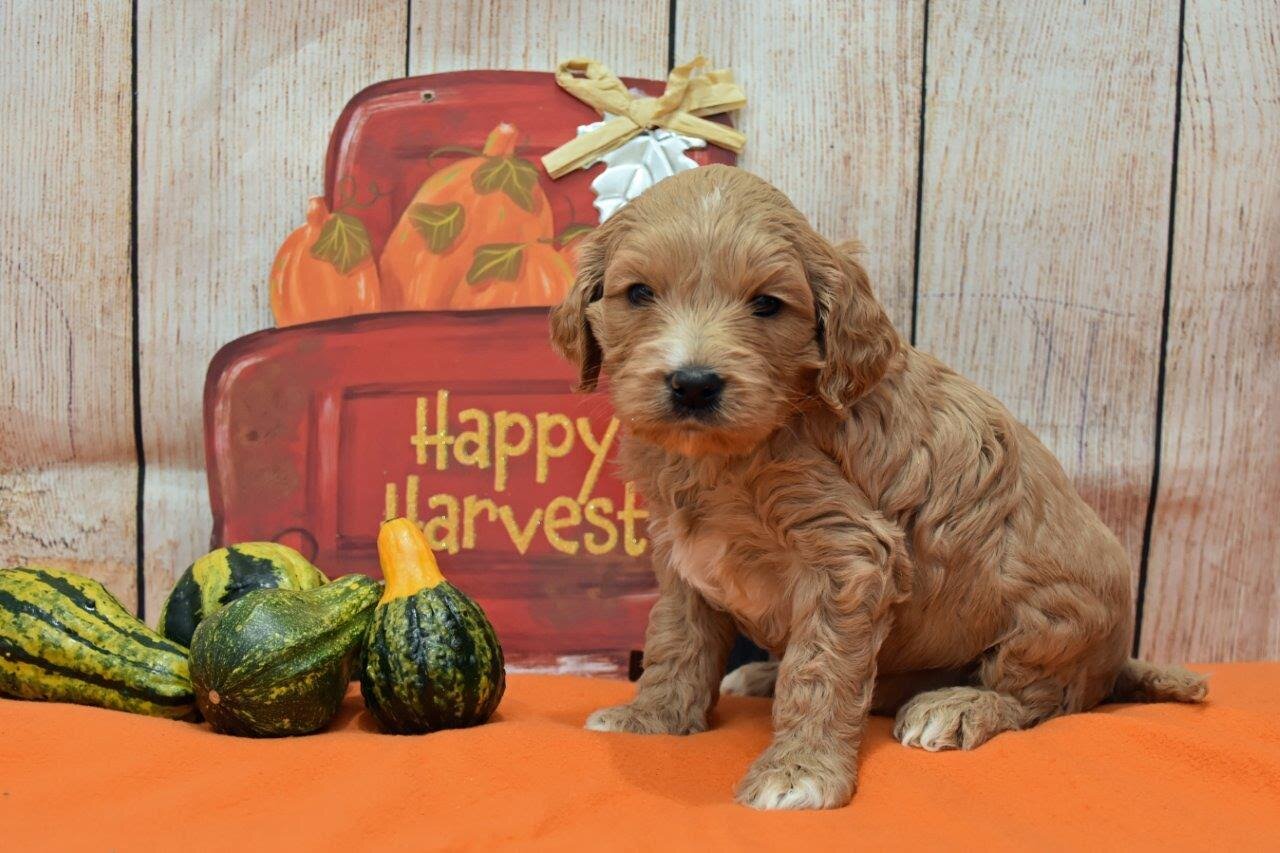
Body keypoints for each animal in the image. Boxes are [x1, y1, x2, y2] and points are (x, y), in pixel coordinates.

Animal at [547, 163, 1198, 804]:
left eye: (767, 304)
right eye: (639, 293)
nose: (694, 384)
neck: (726, 454)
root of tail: (1116, 661)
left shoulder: (851, 553)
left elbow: (819, 667)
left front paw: (800, 769)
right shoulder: (684, 554)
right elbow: (676, 638)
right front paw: (652, 717)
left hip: (1054, 622)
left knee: (1040, 698)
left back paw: (959, 706)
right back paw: (763, 673)